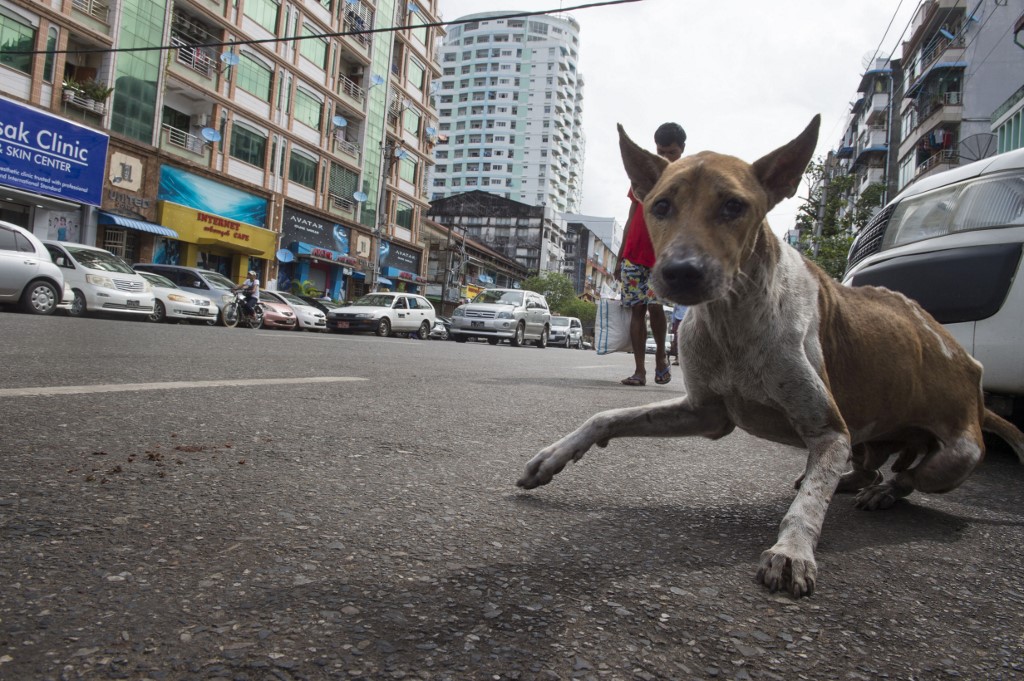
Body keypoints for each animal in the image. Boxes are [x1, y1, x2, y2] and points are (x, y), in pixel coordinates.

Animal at [520, 115, 1024, 593]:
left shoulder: (828, 431)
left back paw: (877, 491)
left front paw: (793, 549)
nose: (681, 272)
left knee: (907, 478)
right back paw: (849, 481)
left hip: (953, 457)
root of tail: (971, 376)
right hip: (871, 437)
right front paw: (553, 456)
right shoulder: (705, 413)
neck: (733, 319)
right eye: (660, 206)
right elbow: (606, 417)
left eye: (733, 206)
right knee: (868, 467)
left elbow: (809, 506)